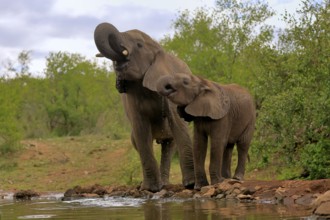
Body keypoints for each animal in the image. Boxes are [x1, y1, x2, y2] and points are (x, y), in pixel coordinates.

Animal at [94, 21, 195, 192]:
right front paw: (151, 189)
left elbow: (178, 123)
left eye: (139, 45)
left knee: (170, 145)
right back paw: (150, 185)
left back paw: (165, 184)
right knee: (138, 141)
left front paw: (190, 185)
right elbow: (140, 128)